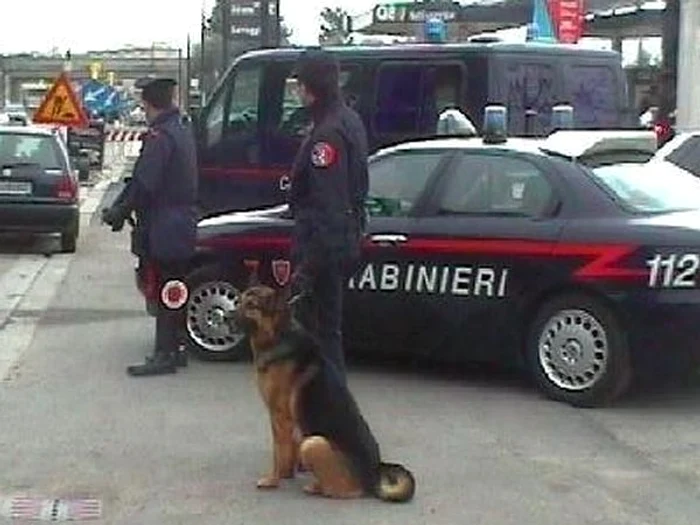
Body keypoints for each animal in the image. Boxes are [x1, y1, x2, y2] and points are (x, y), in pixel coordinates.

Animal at [232, 284, 416, 502]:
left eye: (251, 305)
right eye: (240, 300)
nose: (224, 315)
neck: (278, 335)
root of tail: (374, 477)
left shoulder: (280, 417)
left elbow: (278, 452)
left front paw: (272, 480)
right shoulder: (288, 422)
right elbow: (287, 451)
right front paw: (287, 473)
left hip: (313, 443)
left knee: (343, 491)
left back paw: (315, 487)